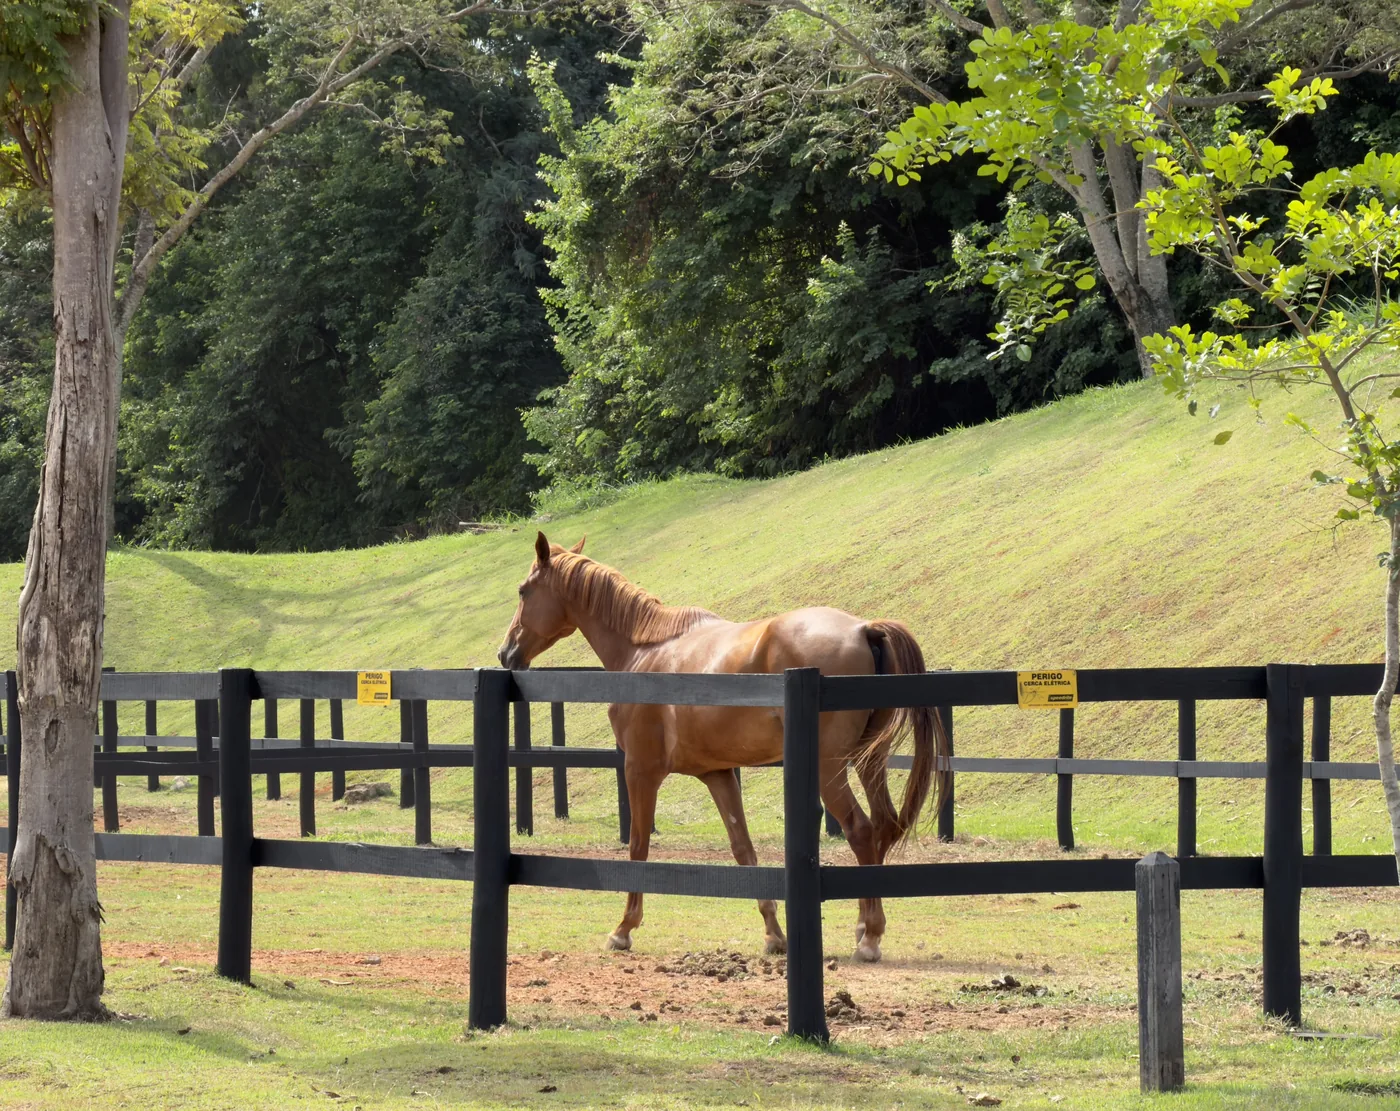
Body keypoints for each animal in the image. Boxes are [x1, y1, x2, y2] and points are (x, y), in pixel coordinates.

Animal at [496, 532, 949, 962]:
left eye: (523, 591)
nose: (506, 653)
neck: (643, 651)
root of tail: (862, 628)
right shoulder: (718, 774)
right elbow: (743, 849)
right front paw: (774, 935)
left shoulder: (641, 771)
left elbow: (639, 846)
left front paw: (623, 929)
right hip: (867, 762)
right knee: (884, 826)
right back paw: (863, 927)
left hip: (831, 770)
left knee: (861, 830)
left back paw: (869, 938)